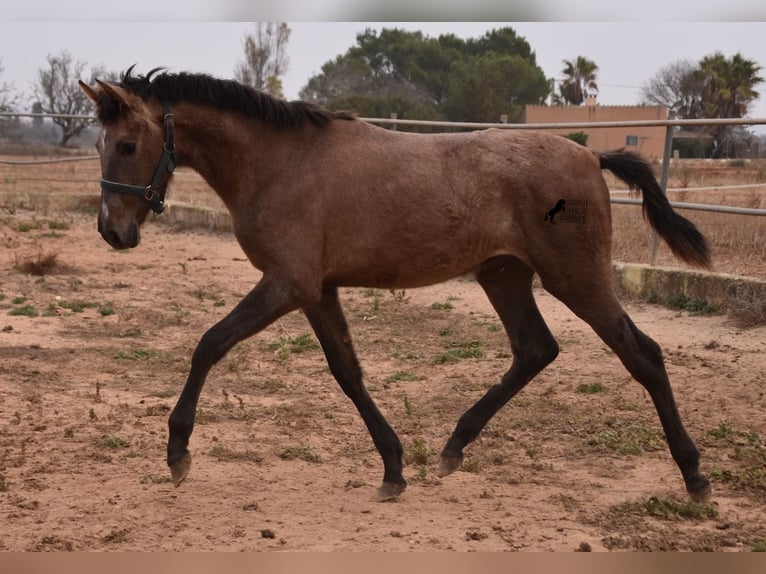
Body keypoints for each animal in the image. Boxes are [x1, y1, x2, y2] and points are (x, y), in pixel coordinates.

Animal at [78, 67, 712, 504]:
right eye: (98, 144)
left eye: (128, 145)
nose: (112, 231)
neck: (278, 161)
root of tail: (590, 156)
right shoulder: (316, 292)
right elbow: (347, 372)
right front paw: (393, 468)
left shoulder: (287, 284)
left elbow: (209, 343)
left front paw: (177, 452)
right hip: (503, 274)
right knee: (535, 349)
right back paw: (453, 448)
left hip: (574, 276)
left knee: (643, 354)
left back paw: (695, 475)